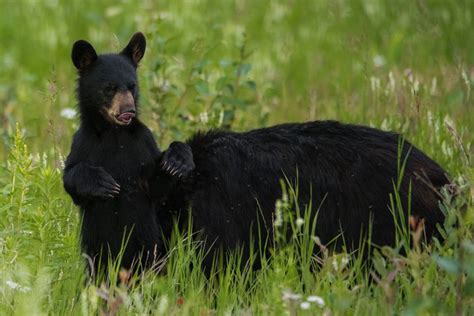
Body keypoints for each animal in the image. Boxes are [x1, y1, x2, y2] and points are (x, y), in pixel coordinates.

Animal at [62, 32, 193, 276]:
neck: (115, 134)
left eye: (132, 86)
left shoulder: (142, 143)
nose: (128, 111)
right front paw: (102, 183)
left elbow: (155, 184)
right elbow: (71, 179)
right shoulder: (84, 144)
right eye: (110, 88)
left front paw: (177, 160)